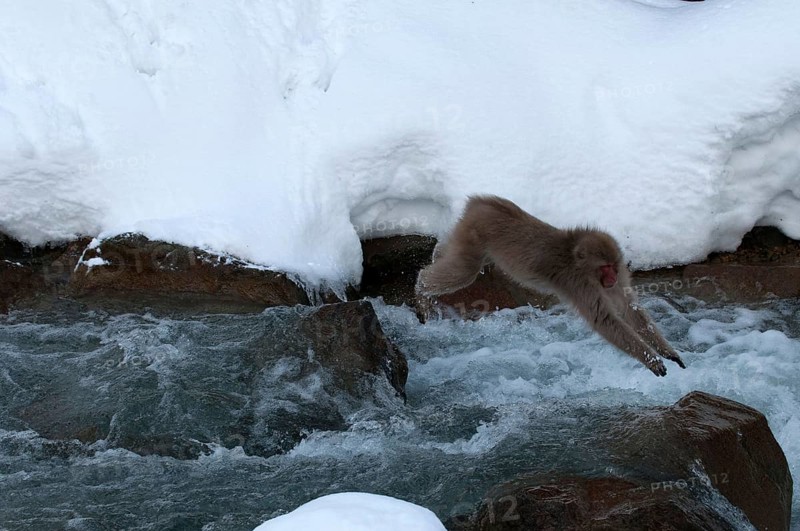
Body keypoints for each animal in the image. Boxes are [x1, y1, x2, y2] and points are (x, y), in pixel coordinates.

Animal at [416, 195, 686, 376]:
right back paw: (420, 290)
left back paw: (435, 258)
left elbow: (629, 307)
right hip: (473, 232)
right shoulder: (578, 283)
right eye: (604, 267)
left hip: (467, 232)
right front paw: (651, 360)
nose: (610, 278)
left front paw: (668, 352)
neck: (575, 257)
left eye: (613, 266)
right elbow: (604, 319)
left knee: (454, 257)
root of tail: (481, 202)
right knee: (464, 271)